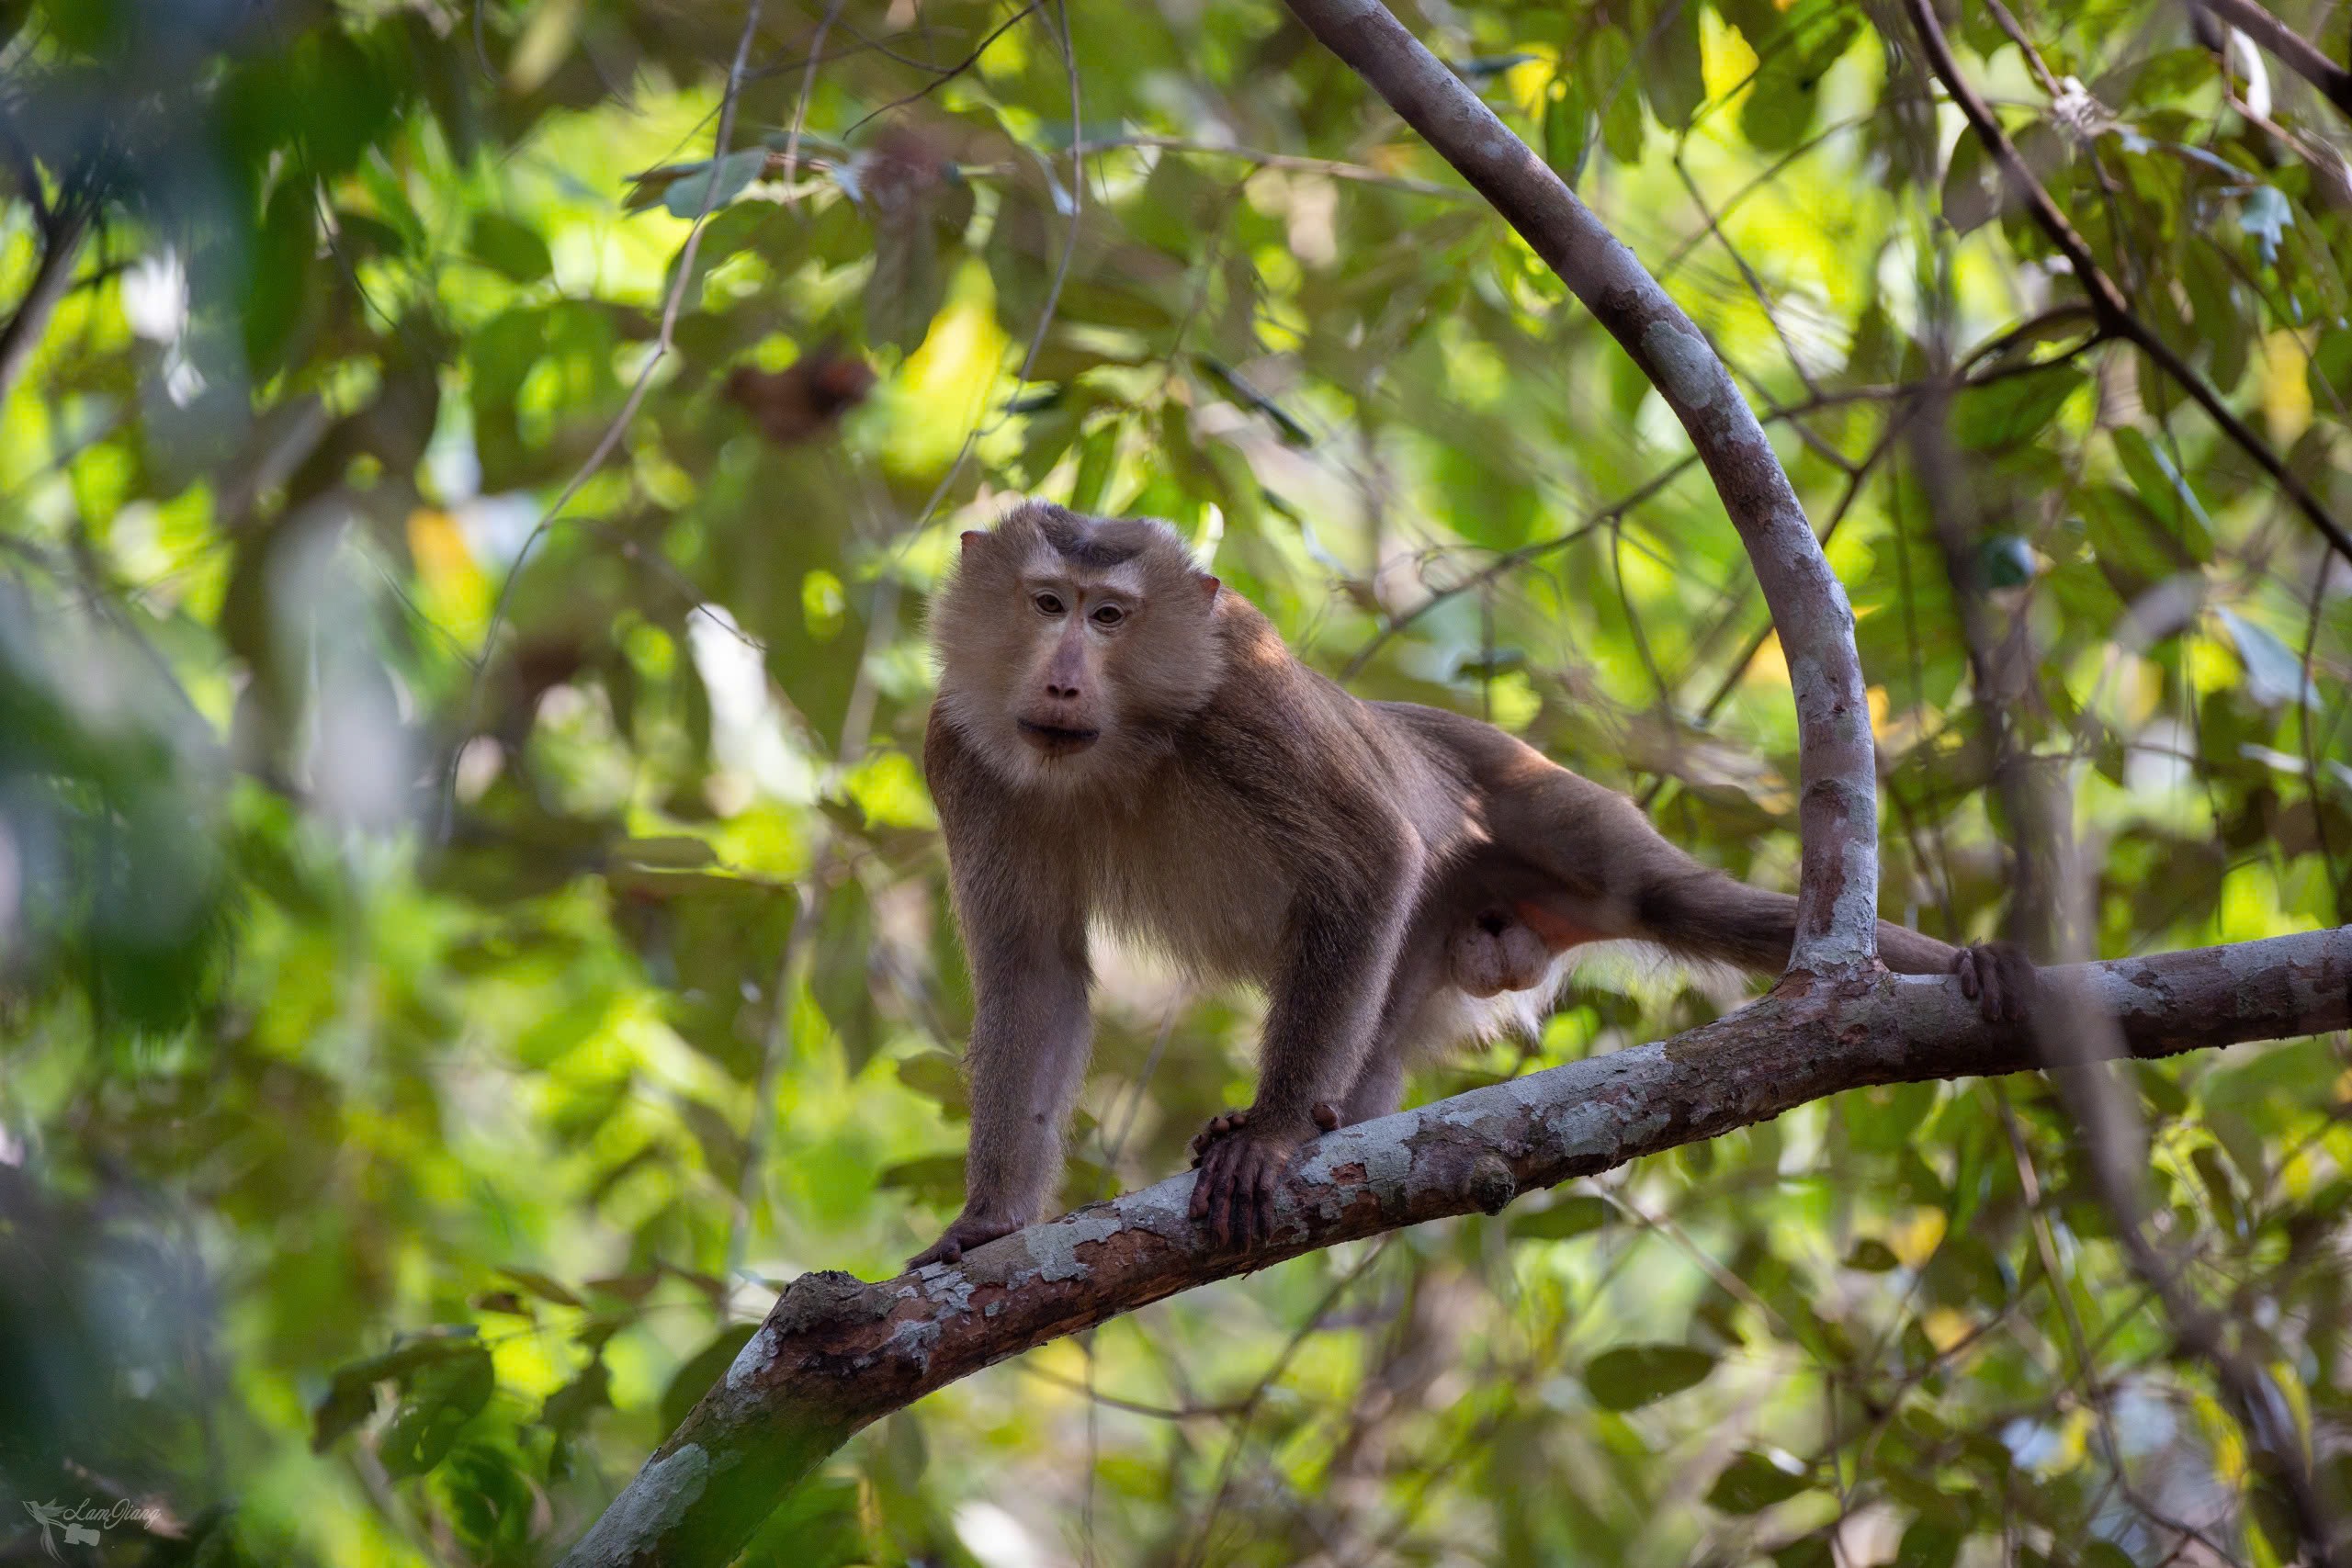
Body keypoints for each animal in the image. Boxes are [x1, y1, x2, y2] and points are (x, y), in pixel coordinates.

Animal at [908, 502, 2031, 1259]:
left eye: (1109, 616)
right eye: (1046, 604)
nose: (1062, 677)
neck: (1123, 744)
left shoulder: (1240, 695)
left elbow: (1370, 857)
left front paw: (1271, 1131)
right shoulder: (958, 751)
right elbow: (1035, 971)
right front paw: (989, 1222)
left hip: (1556, 815)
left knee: (1676, 902)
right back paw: (1347, 1114)